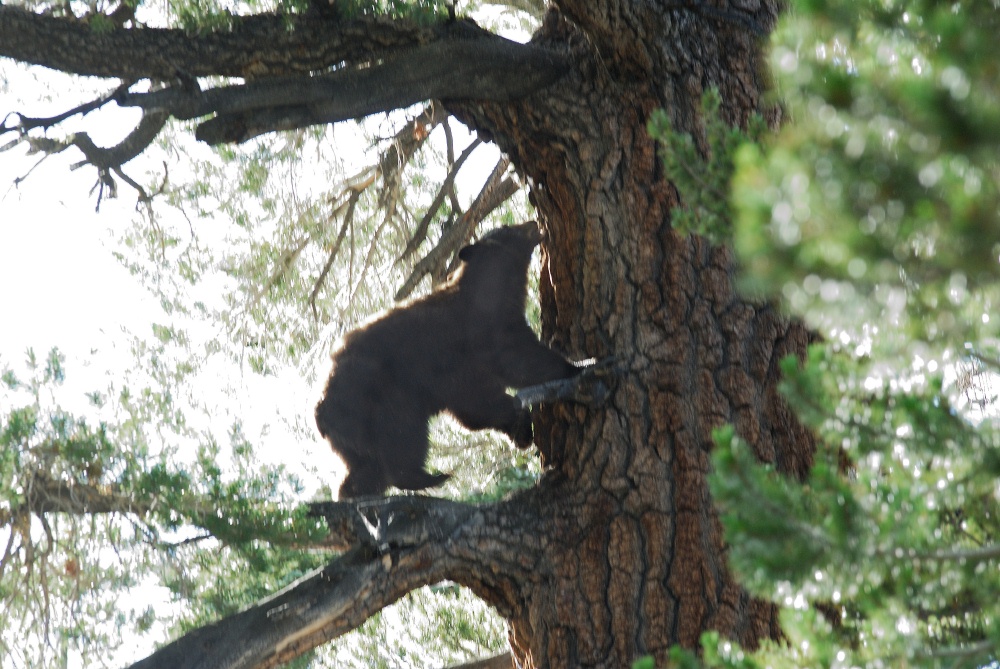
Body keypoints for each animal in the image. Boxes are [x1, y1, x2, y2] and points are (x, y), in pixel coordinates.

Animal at [312, 222, 580, 498]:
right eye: (507, 228)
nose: (533, 223)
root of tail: (320, 407)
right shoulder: (480, 337)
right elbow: (518, 360)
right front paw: (574, 367)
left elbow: (480, 405)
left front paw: (522, 430)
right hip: (378, 399)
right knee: (402, 436)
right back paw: (428, 477)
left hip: (352, 432)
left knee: (367, 466)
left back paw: (356, 492)